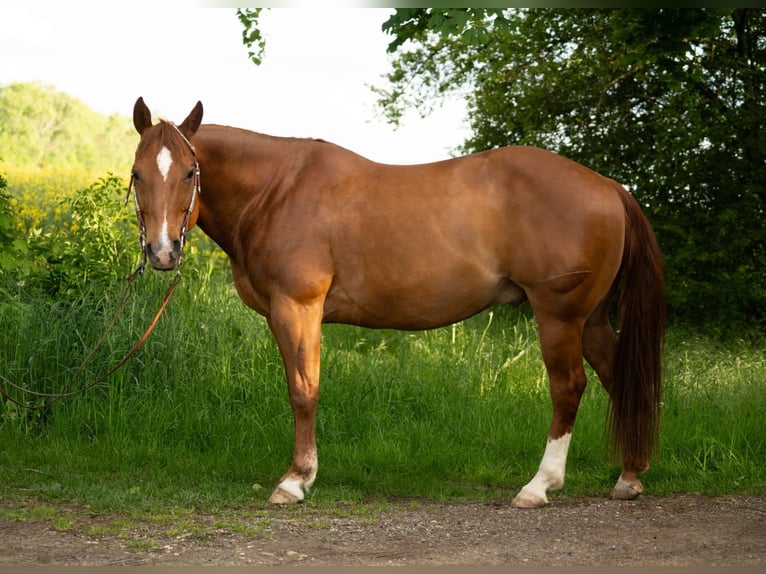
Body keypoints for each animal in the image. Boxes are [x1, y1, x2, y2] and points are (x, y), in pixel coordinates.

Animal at [129, 97, 665, 508]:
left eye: (190, 172)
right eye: (137, 174)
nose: (162, 251)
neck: (277, 190)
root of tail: (610, 188)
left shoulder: (297, 309)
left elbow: (303, 390)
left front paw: (296, 481)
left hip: (559, 316)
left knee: (569, 387)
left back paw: (538, 487)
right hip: (591, 320)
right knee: (616, 377)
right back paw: (629, 477)